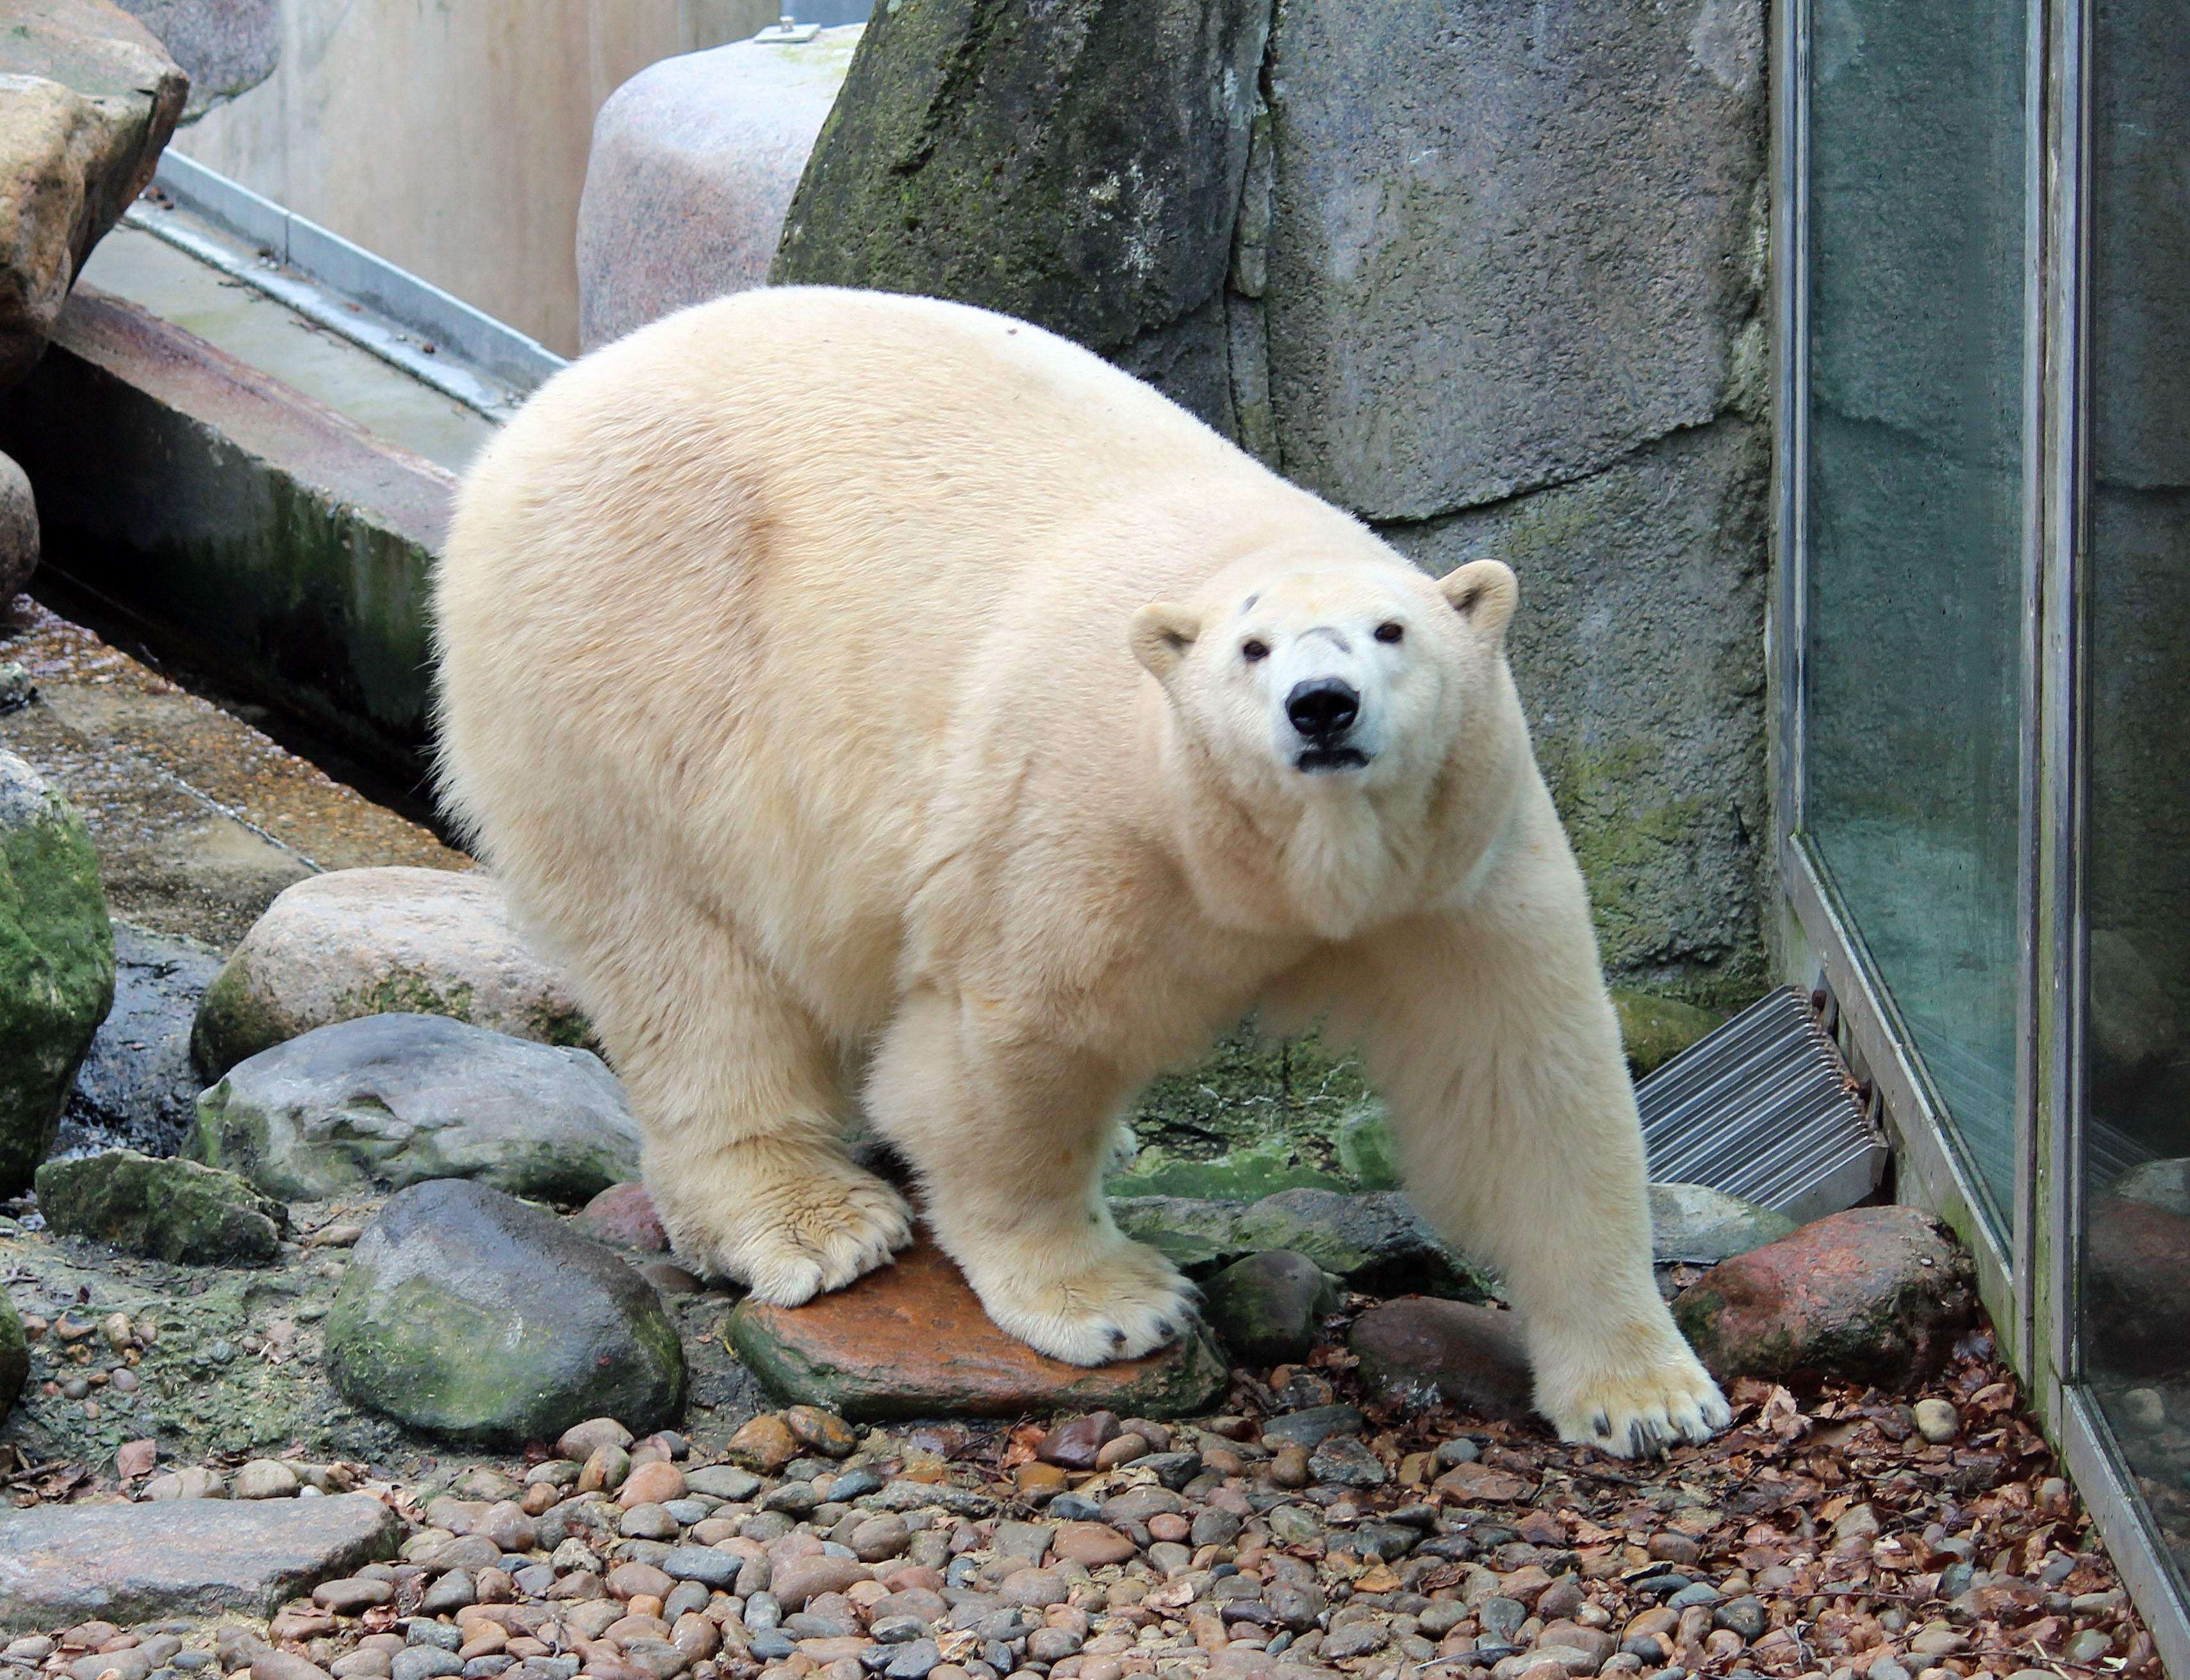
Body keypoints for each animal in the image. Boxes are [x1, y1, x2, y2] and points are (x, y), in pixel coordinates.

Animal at [436, 282, 1734, 1454]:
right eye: (1251, 648)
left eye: (1392, 632)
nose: (1320, 705)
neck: (1293, 859)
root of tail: (536, 413)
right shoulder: (1088, 818)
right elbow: (1012, 1047)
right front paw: (1113, 1302)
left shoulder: (1456, 866)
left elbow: (1522, 1086)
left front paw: (1648, 1396)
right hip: (639, 664)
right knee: (686, 956)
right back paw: (815, 1221)